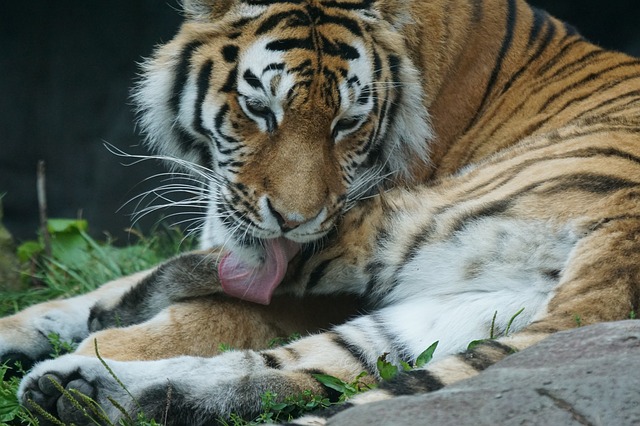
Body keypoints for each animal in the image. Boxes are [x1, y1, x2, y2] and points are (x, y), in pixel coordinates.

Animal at [2, 0, 640, 424]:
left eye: (348, 123)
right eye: (259, 109)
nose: (293, 219)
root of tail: (621, 257)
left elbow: (200, 314)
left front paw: (107, 327)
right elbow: (75, 299)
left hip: (394, 226)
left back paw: (77, 377)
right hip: (456, 307)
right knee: (300, 367)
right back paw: (83, 392)